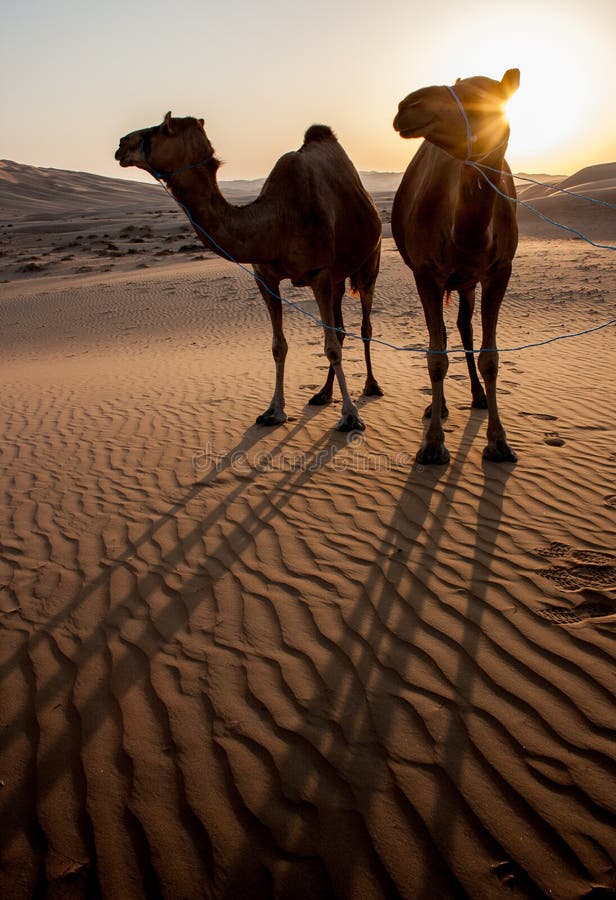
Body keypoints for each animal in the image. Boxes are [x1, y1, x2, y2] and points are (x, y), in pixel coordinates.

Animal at [113, 113, 382, 432]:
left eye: (163, 129)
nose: (121, 144)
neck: (277, 220)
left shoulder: (319, 273)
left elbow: (330, 347)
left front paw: (351, 416)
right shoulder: (265, 278)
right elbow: (279, 346)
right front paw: (273, 411)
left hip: (368, 265)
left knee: (365, 326)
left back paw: (371, 386)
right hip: (339, 277)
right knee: (340, 328)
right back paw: (323, 393)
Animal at [390, 69, 520, 464]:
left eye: (480, 99)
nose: (407, 104)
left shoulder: (499, 272)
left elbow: (491, 358)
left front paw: (499, 442)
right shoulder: (426, 274)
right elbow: (436, 355)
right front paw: (433, 443)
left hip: (468, 282)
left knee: (464, 327)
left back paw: (477, 397)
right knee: (446, 335)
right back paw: (441, 407)